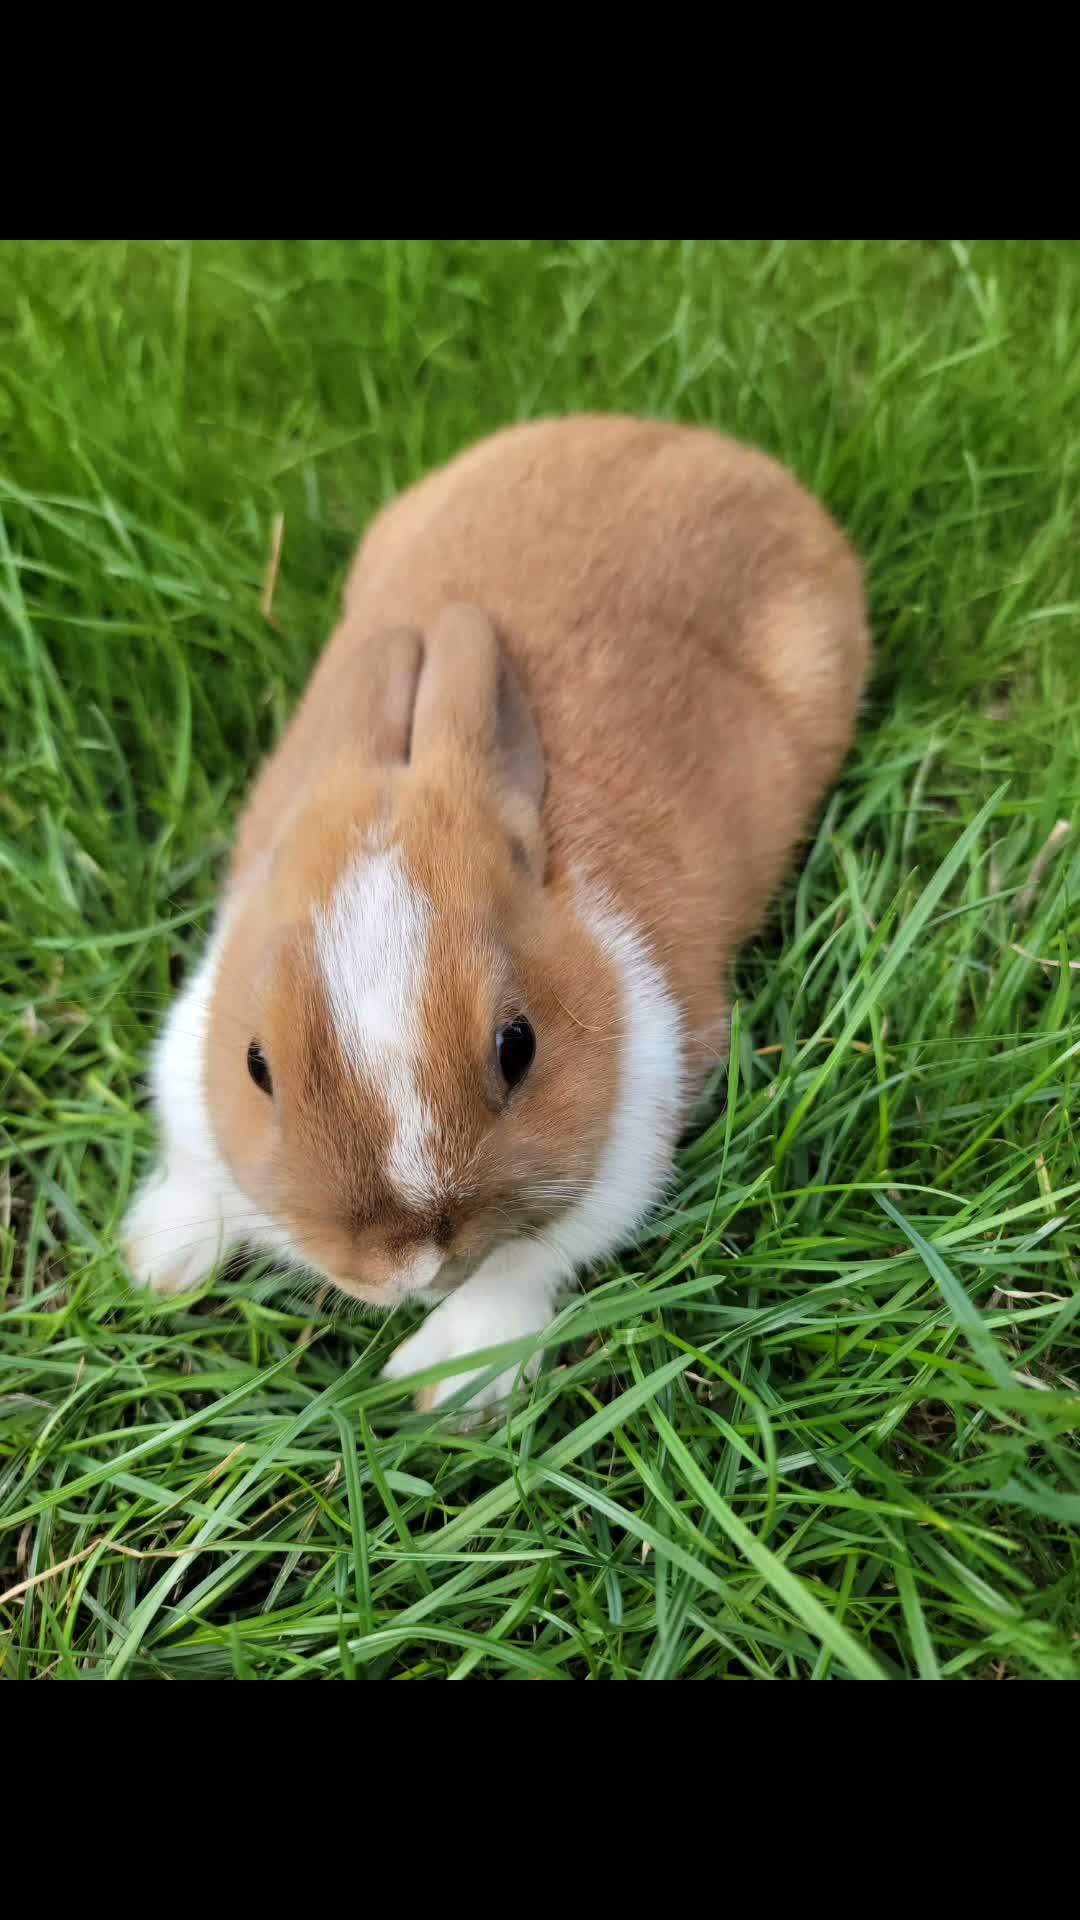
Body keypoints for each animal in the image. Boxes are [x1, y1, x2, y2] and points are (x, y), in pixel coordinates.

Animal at [122, 414, 870, 1412]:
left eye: (520, 1047)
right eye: (255, 1066)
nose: (404, 1265)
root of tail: (689, 440)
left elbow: (530, 1262)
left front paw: (449, 1382)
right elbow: (199, 1167)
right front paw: (155, 1257)